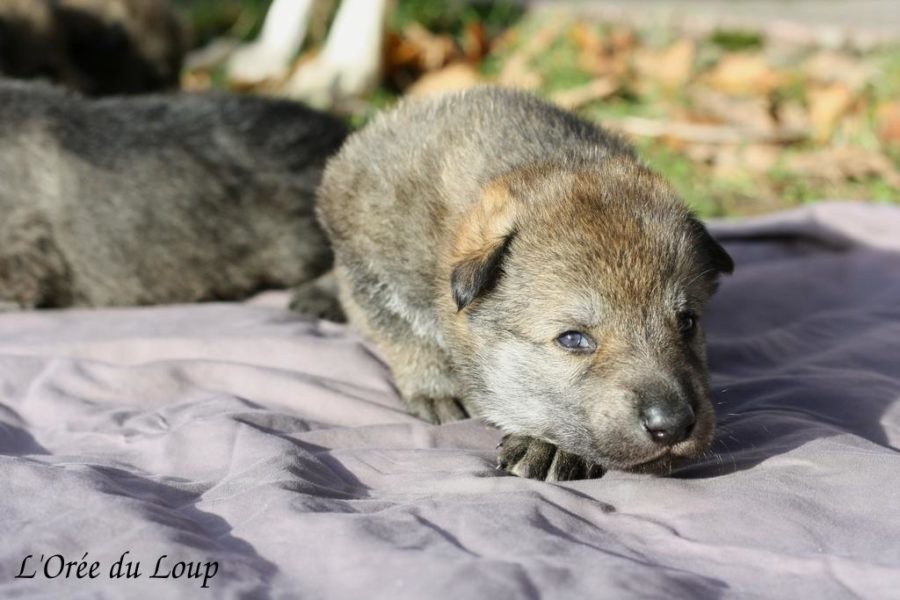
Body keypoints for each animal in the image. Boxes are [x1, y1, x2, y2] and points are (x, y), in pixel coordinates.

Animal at [312, 86, 736, 482]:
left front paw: (551, 446)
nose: (673, 424)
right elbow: (403, 330)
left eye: (687, 323)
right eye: (573, 339)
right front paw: (438, 388)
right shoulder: (364, 251)